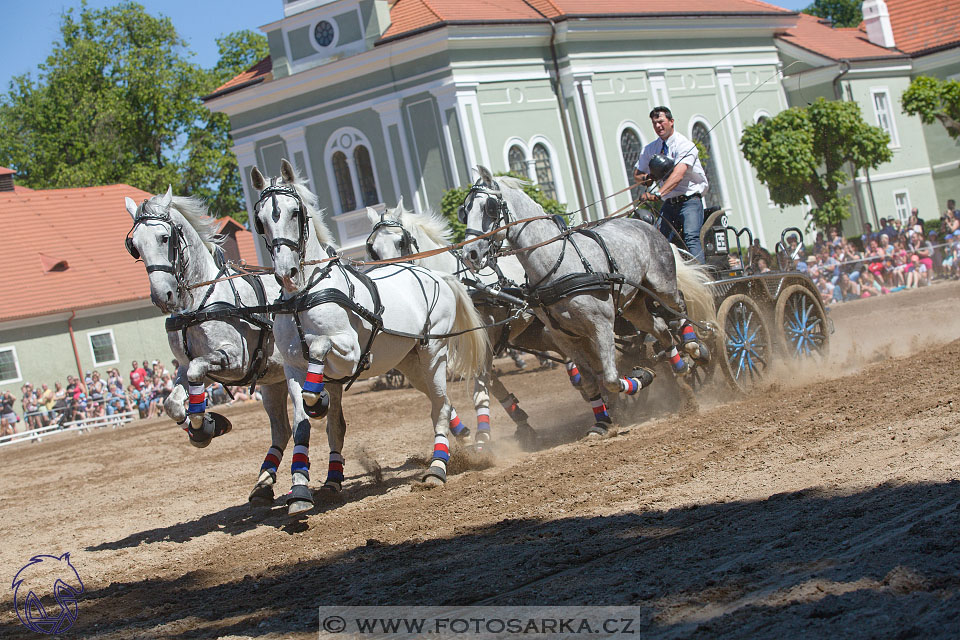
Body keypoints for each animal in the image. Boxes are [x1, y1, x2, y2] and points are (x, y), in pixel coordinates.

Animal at [125, 188, 308, 508]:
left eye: (164, 238)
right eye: (135, 246)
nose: (163, 296)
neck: (200, 301)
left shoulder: (233, 360)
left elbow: (198, 372)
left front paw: (205, 425)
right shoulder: (188, 366)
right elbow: (172, 403)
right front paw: (204, 427)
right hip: (273, 381)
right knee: (281, 429)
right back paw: (263, 483)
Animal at [249, 160, 488, 516]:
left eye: (295, 212)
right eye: (260, 221)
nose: (286, 274)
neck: (304, 296)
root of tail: (437, 275)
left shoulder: (348, 353)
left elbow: (319, 350)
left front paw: (318, 399)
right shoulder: (292, 367)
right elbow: (302, 423)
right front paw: (300, 490)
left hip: (433, 355)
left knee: (441, 407)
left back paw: (437, 468)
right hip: (411, 364)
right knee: (441, 404)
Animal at [366, 200, 576, 450]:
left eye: (401, 241)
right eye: (372, 248)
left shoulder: (480, 343)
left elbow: (480, 390)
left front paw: (483, 436)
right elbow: (477, 388)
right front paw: (519, 423)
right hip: (529, 333)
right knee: (563, 348)